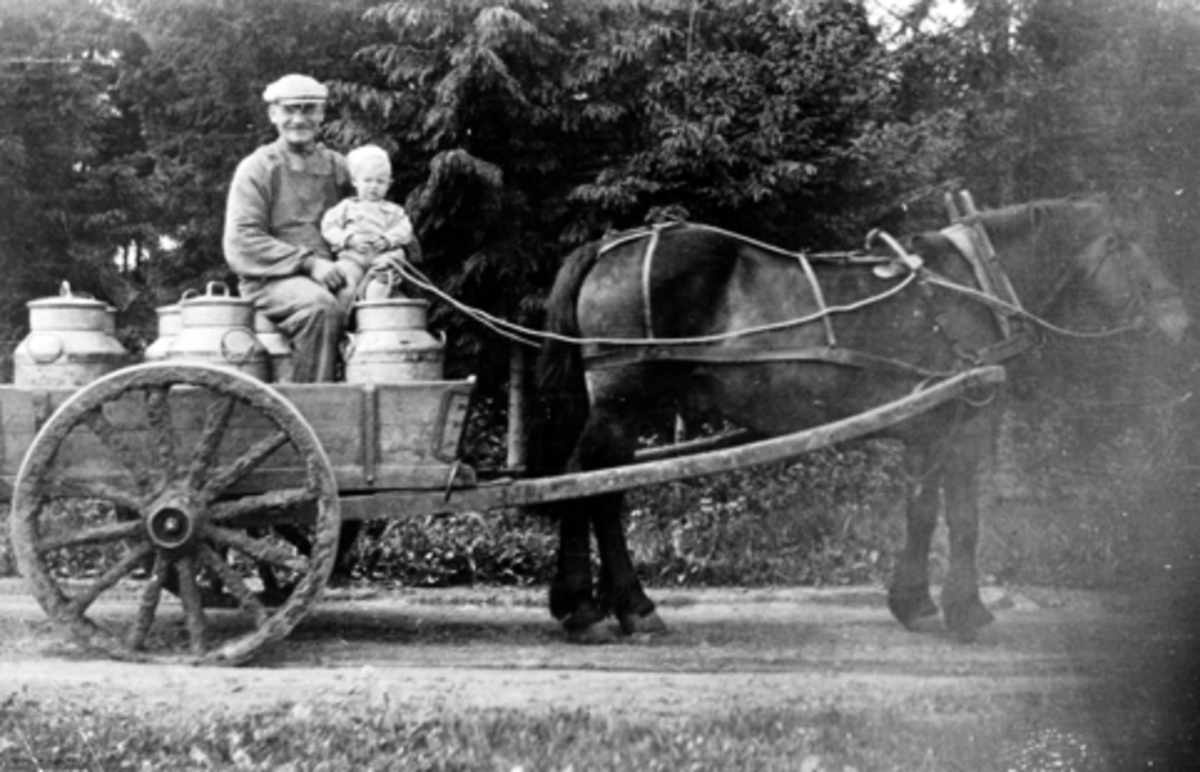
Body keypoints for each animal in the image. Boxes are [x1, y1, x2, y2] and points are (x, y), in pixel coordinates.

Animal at [532, 196, 1190, 643]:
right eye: (1130, 247)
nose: (1182, 326)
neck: (977, 284)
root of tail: (608, 247)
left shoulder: (929, 427)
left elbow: (922, 514)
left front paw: (915, 603)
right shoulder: (968, 423)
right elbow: (965, 519)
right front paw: (968, 610)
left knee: (579, 481)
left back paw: (580, 605)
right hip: (624, 402)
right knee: (596, 488)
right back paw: (623, 607)